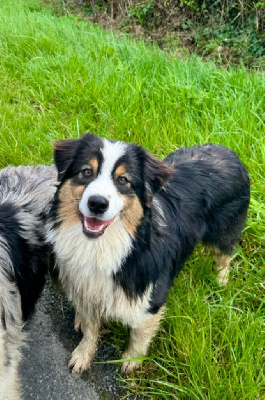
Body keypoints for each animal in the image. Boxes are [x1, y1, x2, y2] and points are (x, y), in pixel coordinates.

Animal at [48, 134, 250, 376]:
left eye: (123, 180)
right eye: (87, 171)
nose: (97, 203)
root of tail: (228, 150)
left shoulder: (150, 297)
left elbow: (140, 334)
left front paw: (131, 362)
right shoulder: (86, 287)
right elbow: (90, 328)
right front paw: (82, 354)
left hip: (223, 231)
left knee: (224, 254)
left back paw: (220, 280)